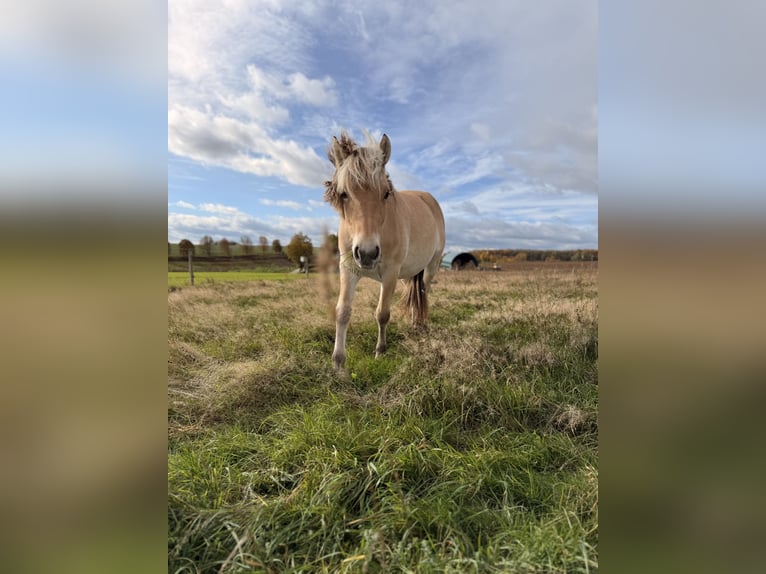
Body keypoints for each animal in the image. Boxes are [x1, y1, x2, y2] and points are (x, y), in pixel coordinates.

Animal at [323, 131, 446, 370]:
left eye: (386, 193)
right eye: (344, 194)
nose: (367, 253)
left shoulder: (390, 273)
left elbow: (382, 314)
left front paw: (380, 352)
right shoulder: (348, 269)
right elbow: (342, 312)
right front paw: (338, 363)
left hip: (431, 266)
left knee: (423, 292)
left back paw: (419, 326)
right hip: (407, 273)